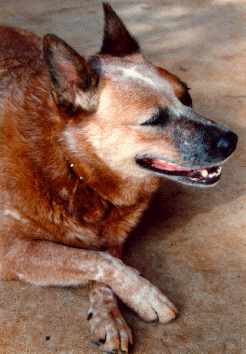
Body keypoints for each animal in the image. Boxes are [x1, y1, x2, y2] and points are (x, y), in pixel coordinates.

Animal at [0, 3, 237, 354]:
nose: (232, 140)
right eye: (154, 119)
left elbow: (99, 264)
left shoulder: (110, 234)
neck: (72, 167)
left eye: (188, 97)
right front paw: (146, 295)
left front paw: (108, 316)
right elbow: (94, 260)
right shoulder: (9, 251)